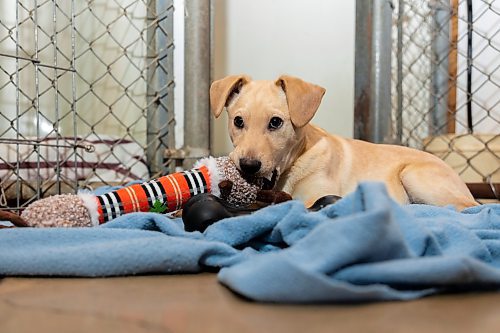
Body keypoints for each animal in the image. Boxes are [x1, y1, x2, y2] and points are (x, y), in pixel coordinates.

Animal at [209, 75, 478, 210]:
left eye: (276, 122)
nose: (247, 166)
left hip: (414, 175)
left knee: (465, 208)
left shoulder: (318, 195)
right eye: (238, 121)